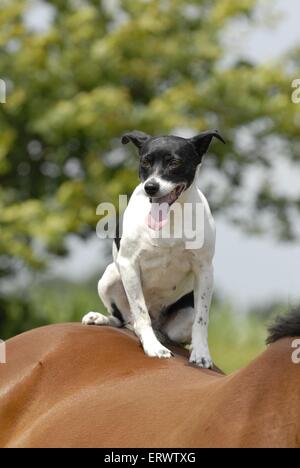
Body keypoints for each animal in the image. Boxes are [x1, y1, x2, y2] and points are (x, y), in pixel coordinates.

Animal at [82, 130, 225, 368]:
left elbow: (202, 319)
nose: (151, 187)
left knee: (171, 329)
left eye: (174, 162)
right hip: (109, 276)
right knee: (125, 319)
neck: (170, 218)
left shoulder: (205, 269)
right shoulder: (129, 265)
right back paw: (103, 318)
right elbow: (141, 314)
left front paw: (202, 354)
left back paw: (165, 337)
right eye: (145, 162)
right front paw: (153, 347)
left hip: (182, 319)